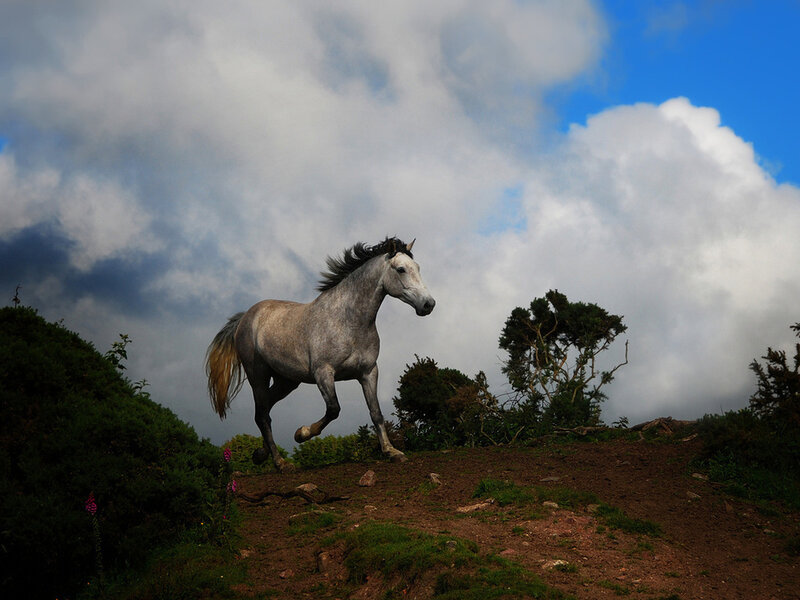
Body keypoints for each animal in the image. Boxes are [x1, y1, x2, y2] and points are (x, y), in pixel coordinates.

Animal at [205, 237, 435, 472]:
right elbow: (334, 409)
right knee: (263, 415)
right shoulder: (323, 373)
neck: (348, 321)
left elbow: (376, 413)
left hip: (286, 381)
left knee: (264, 409)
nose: (428, 304)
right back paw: (281, 463)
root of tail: (245, 318)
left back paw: (261, 454)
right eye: (401, 269)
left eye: (417, 267)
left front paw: (392, 452)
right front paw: (301, 434)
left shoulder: (369, 372)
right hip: (258, 375)